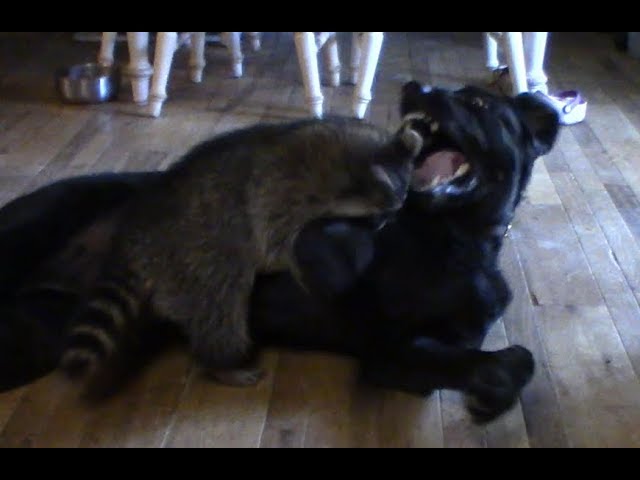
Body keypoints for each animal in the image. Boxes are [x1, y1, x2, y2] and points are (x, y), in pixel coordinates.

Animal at [59, 116, 423, 397]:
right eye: (379, 217)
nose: (384, 226)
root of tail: (136, 236)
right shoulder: (281, 186)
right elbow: (275, 233)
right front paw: (293, 263)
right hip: (196, 258)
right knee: (220, 307)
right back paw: (220, 363)